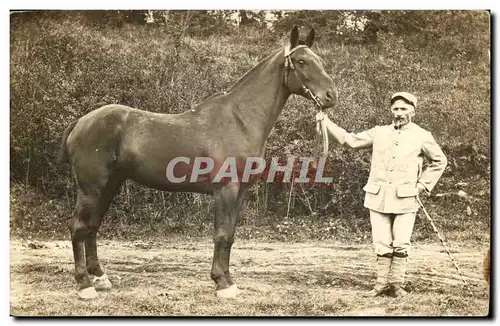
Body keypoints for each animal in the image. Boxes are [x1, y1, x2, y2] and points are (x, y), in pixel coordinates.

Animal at [60, 26, 338, 300]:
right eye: (301, 61)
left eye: (320, 61)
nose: (331, 96)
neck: (239, 120)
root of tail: (81, 121)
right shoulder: (225, 190)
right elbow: (221, 234)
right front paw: (222, 284)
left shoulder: (240, 192)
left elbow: (230, 236)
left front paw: (229, 280)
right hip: (91, 188)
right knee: (78, 226)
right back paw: (85, 285)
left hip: (110, 185)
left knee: (92, 226)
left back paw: (100, 277)